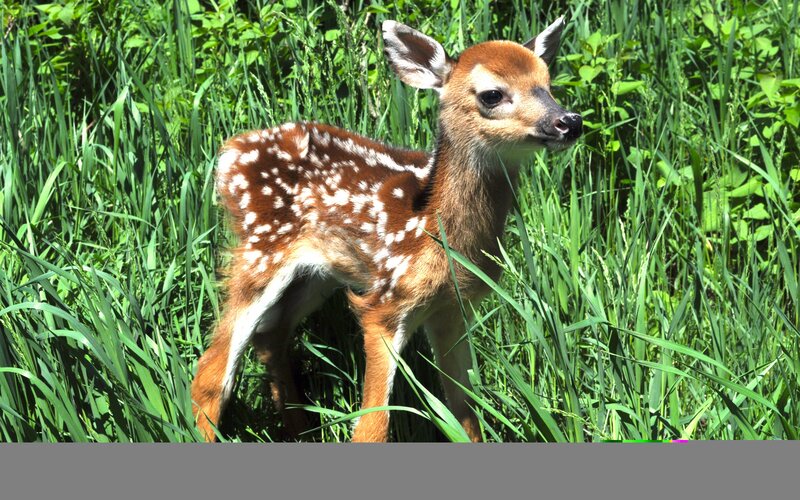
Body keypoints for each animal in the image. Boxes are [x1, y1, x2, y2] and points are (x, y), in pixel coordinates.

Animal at [191, 16, 582, 443]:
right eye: (492, 95)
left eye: (547, 83)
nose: (568, 121)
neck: (437, 233)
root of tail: (230, 152)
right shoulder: (385, 302)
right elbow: (372, 426)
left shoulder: (452, 309)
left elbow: (464, 415)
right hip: (261, 250)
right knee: (211, 371)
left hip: (319, 272)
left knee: (271, 336)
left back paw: (299, 429)